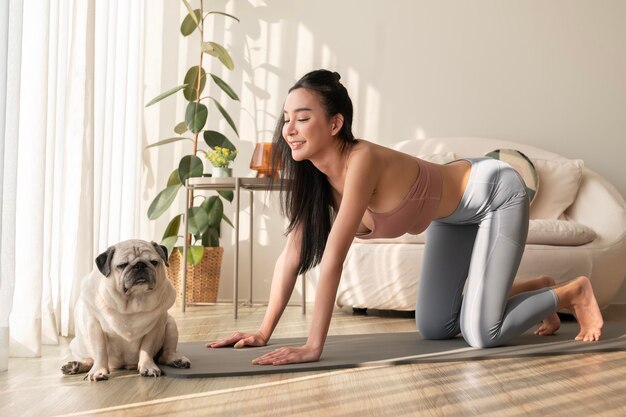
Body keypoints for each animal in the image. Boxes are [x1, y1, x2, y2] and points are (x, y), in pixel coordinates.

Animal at [63, 239, 191, 378]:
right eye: (122, 265)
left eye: (154, 262)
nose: (140, 265)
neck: (132, 303)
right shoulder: (95, 326)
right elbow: (100, 351)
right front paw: (98, 370)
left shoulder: (154, 327)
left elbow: (146, 348)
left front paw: (148, 366)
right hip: (79, 346)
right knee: (91, 359)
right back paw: (75, 366)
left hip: (171, 325)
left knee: (165, 354)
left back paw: (177, 360)